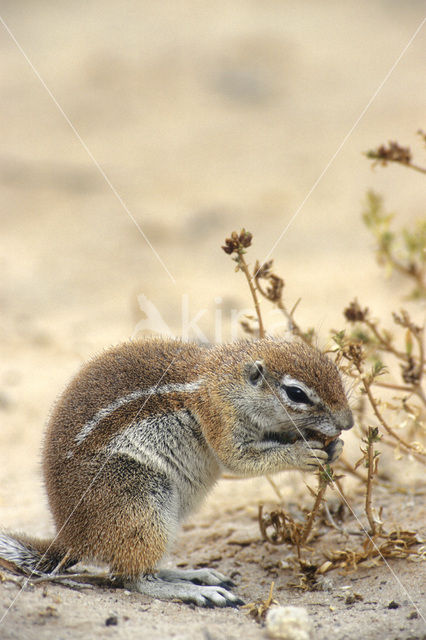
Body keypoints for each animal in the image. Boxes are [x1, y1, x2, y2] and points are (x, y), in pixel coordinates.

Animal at [0, 338, 352, 608]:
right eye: (296, 394)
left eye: (335, 372)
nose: (347, 422)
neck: (223, 380)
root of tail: (70, 539)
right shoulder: (219, 417)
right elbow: (238, 460)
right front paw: (303, 452)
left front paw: (335, 448)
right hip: (141, 503)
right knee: (129, 578)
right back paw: (195, 591)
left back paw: (195, 574)